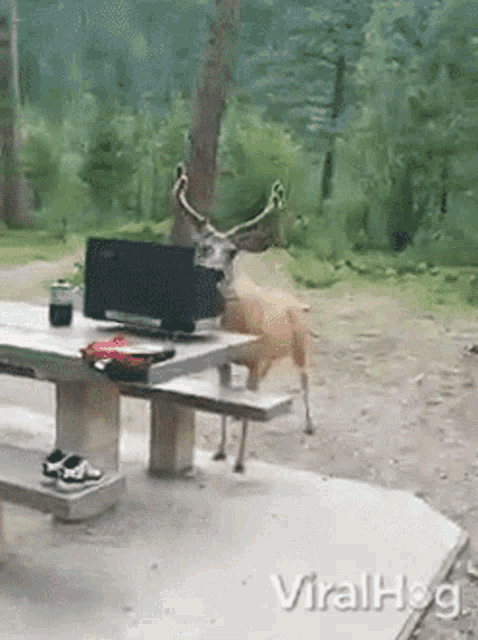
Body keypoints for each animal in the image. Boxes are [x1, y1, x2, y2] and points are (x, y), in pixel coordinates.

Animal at [172, 163, 315, 473]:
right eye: (203, 247)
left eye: (233, 251)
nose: (215, 274)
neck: (237, 325)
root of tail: (295, 301)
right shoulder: (227, 362)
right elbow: (223, 399)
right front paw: (220, 451)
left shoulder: (255, 361)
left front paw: (239, 462)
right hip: (270, 355)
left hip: (301, 344)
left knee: (305, 377)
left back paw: (310, 424)